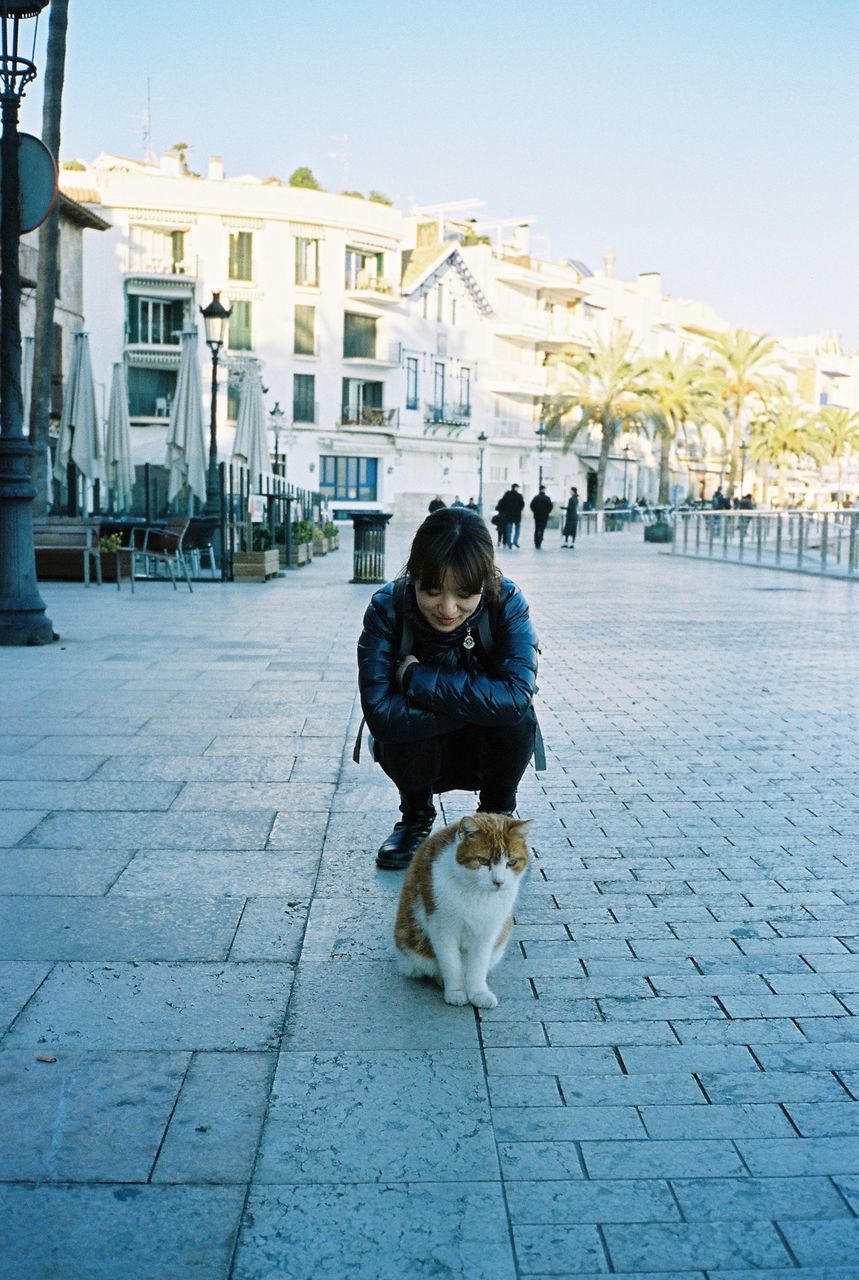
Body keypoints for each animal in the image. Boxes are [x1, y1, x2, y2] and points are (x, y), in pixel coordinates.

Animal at [394, 808, 529, 1008]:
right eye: (482, 861)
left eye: (511, 862)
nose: (499, 882)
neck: (477, 893)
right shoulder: (442, 928)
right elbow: (450, 964)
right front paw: (456, 991)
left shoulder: (487, 932)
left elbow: (478, 965)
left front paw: (478, 992)